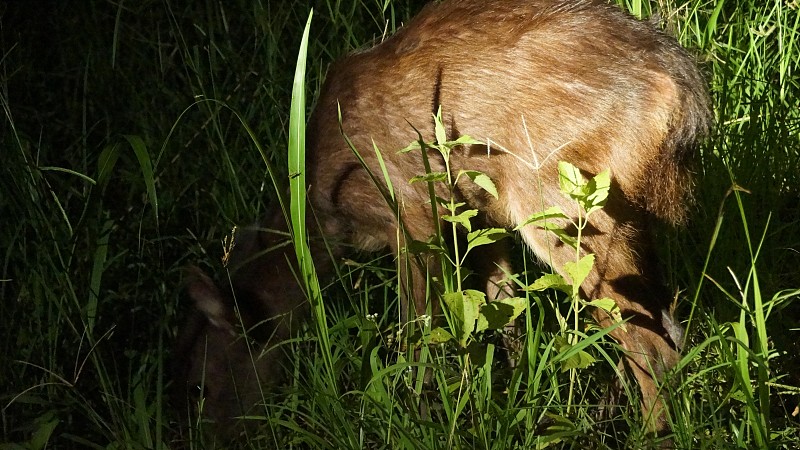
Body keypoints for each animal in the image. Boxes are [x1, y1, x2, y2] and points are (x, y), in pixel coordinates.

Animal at [173, 0, 708, 440]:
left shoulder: (412, 213)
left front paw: (413, 415)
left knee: (648, 342)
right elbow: (501, 307)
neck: (324, 212)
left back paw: (651, 432)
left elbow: (420, 335)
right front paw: (501, 395)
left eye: (198, 386)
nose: (210, 438)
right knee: (667, 325)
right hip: (616, 216)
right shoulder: (480, 212)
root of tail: (682, 93)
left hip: (563, 204)